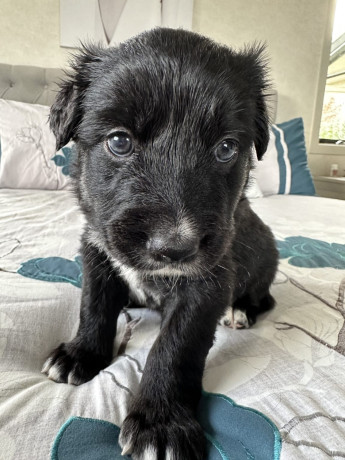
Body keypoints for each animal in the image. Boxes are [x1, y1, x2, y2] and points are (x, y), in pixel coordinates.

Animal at [43, 28, 276, 460]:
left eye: (226, 148)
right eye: (119, 141)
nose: (175, 247)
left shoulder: (207, 281)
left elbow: (175, 346)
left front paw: (161, 422)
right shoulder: (97, 252)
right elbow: (93, 306)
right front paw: (81, 353)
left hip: (264, 262)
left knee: (264, 298)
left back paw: (239, 311)